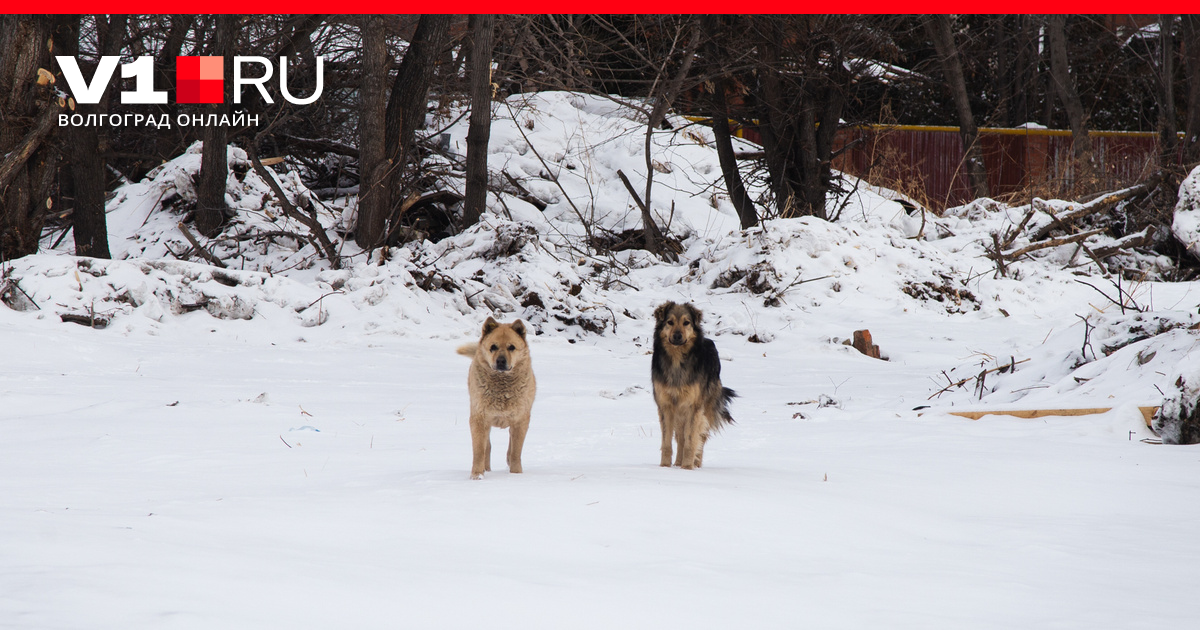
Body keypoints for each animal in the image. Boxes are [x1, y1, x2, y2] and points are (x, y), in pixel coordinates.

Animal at [456, 316, 537, 480]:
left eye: (511, 347)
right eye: (493, 347)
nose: (500, 361)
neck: (502, 386)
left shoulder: (520, 420)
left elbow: (515, 451)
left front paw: (516, 474)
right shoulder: (479, 419)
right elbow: (479, 451)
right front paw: (477, 475)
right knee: (487, 447)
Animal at [652, 300, 734, 465]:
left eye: (686, 323)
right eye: (670, 322)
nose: (677, 336)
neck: (677, 361)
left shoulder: (693, 406)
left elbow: (691, 441)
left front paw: (687, 467)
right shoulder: (666, 405)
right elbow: (667, 442)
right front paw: (665, 466)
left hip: (706, 408)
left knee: (700, 438)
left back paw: (695, 464)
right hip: (679, 413)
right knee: (680, 438)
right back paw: (678, 463)